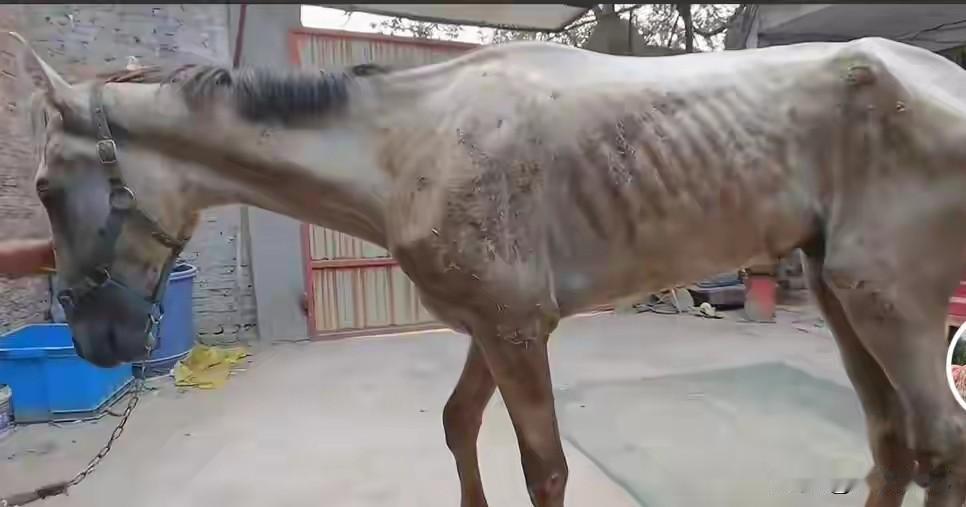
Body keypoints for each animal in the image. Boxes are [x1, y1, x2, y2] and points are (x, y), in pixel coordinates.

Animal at [9, 31, 966, 507]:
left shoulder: (515, 329)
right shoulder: (485, 326)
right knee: (892, 449)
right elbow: (457, 425)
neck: (411, 146)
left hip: (889, 301)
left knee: (939, 447)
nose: (94, 338)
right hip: (840, 296)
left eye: (48, 187)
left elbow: (544, 467)